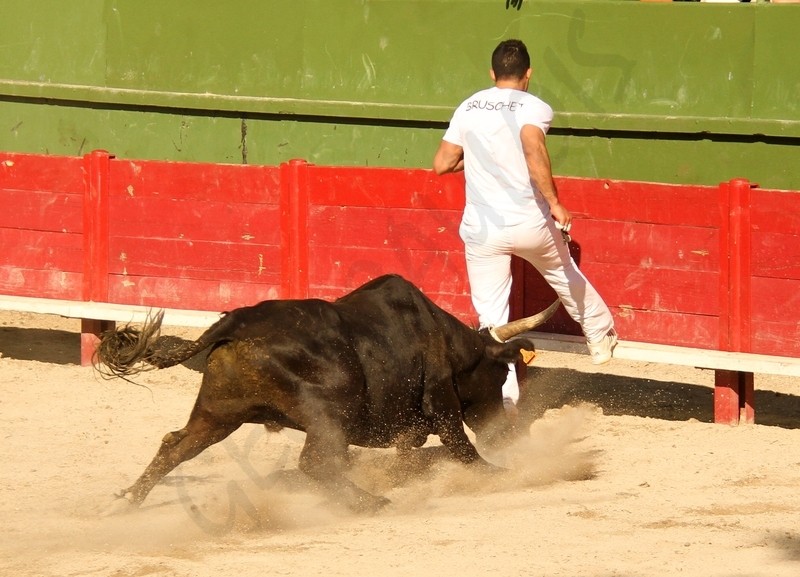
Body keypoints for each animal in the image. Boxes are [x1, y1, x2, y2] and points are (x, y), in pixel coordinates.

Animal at [97, 274, 556, 512]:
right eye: (501, 374)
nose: (505, 432)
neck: (447, 338)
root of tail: (237, 321)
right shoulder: (441, 403)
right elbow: (462, 447)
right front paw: (501, 471)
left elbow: (409, 453)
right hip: (331, 408)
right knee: (315, 462)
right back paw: (372, 501)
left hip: (219, 412)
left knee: (175, 444)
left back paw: (128, 500)